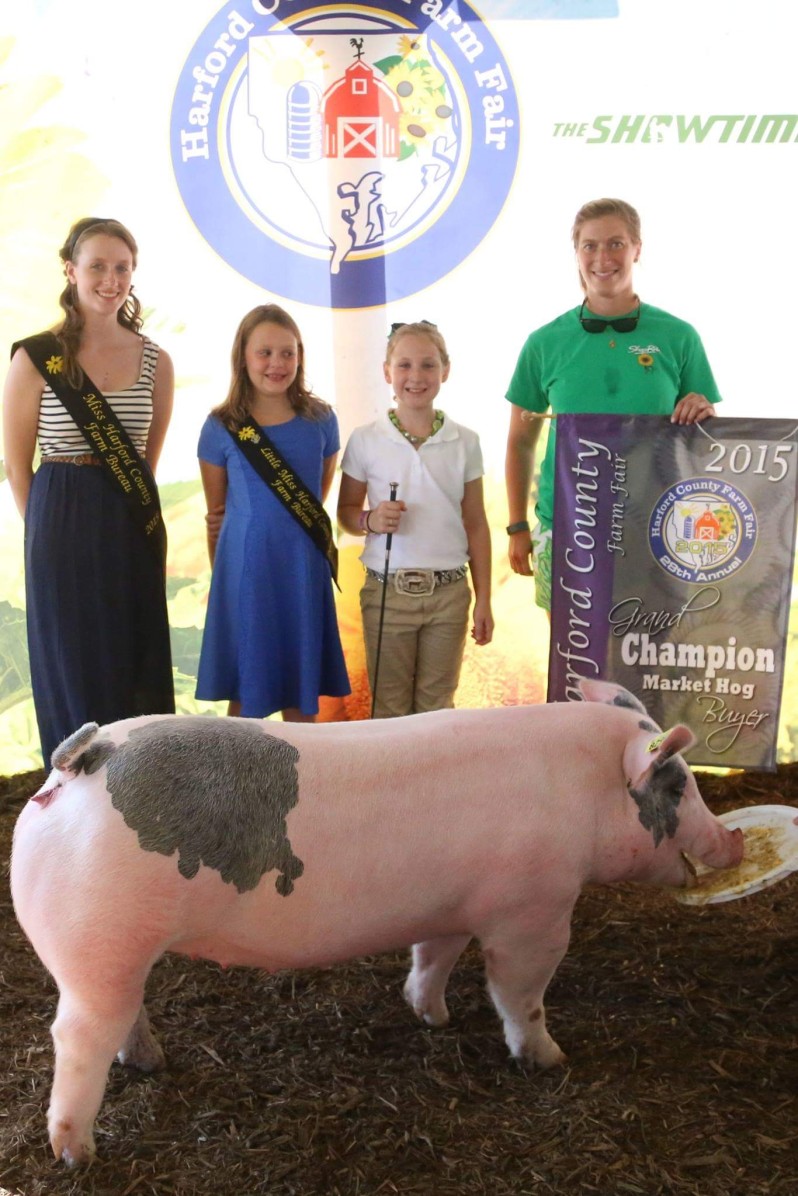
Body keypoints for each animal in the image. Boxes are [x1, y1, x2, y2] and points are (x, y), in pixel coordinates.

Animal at [10, 679, 741, 1162]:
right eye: (678, 786)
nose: (731, 839)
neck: (582, 791)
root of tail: (82, 761)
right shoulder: (533, 911)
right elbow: (520, 993)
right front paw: (553, 1060)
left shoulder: (454, 907)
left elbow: (432, 959)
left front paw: (433, 1017)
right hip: (95, 944)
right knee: (76, 1036)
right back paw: (76, 1155)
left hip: (118, 953)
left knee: (125, 1016)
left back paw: (151, 1063)